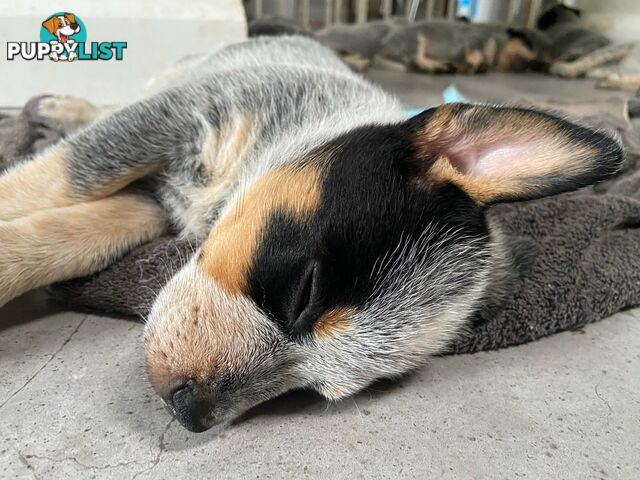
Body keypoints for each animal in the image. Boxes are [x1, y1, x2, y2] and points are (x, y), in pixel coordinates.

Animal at [0, 34, 624, 432]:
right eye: (306, 292)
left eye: (312, 390)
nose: (189, 413)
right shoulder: (170, 119)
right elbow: (45, 180)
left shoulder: (148, 206)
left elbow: (73, 235)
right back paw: (62, 106)